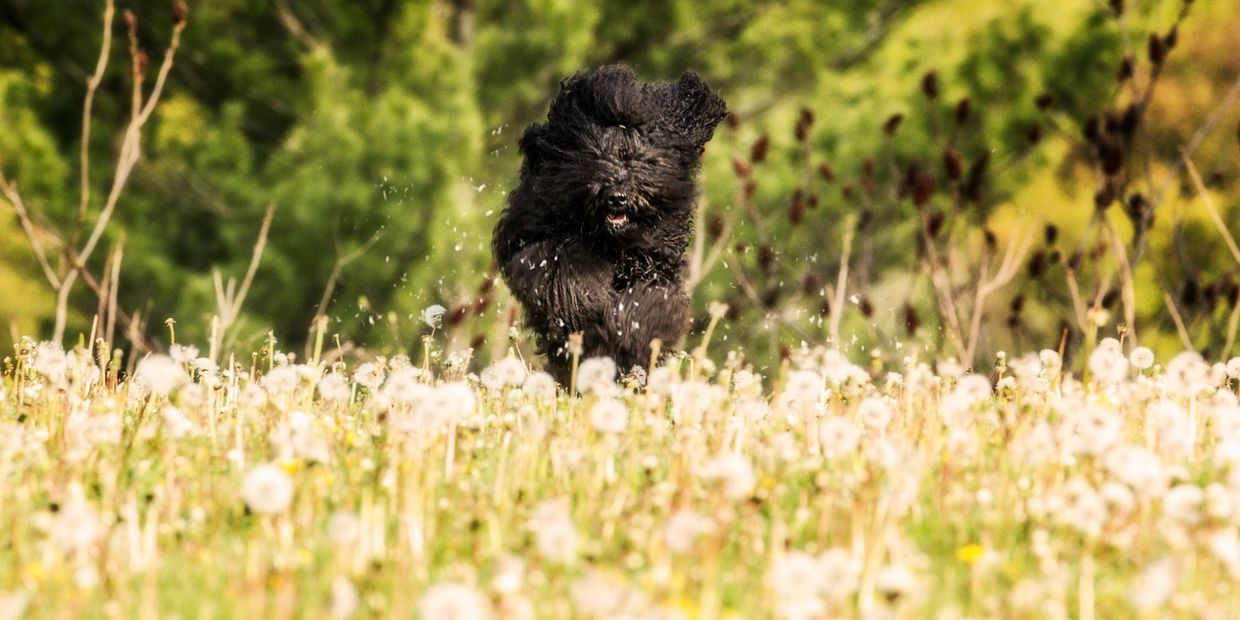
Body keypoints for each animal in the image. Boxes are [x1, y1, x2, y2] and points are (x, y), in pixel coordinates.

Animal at [493, 62, 724, 381]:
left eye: (644, 159)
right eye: (595, 156)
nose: (617, 197)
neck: (612, 243)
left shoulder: (656, 267)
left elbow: (648, 307)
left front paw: (627, 335)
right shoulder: (536, 243)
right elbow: (564, 275)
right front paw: (589, 302)